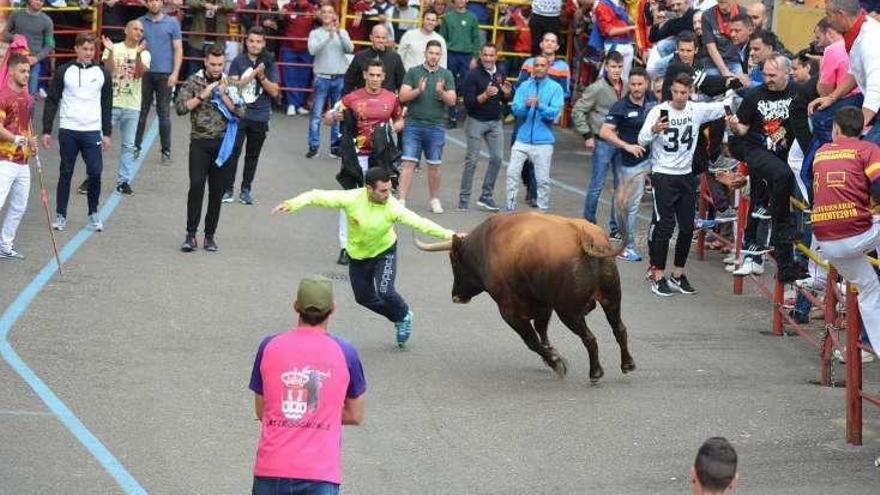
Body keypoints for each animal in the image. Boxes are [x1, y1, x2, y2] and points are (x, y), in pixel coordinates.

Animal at [418, 213, 632, 384]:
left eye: (454, 262)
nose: (455, 296)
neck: (485, 246)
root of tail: (583, 235)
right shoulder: (543, 305)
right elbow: (541, 331)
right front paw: (551, 355)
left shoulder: (509, 311)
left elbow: (532, 340)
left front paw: (555, 362)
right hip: (612, 297)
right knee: (619, 328)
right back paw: (627, 364)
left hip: (569, 311)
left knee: (590, 338)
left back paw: (595, 372)